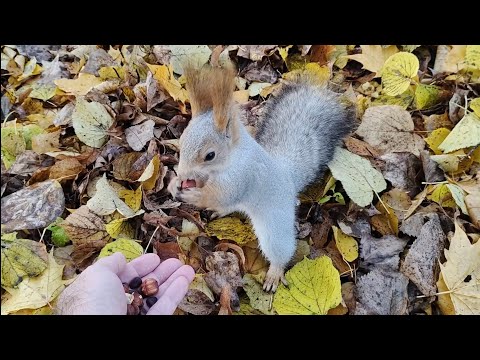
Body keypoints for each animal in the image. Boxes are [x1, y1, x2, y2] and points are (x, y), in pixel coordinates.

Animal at [167, 63, 354, 292]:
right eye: (181, 141)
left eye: (210, 155)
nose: (184, 174)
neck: (230, 161)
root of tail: (288, 179)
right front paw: (174, 183)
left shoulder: (245, 176)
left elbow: (223, 194)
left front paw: (195, 195)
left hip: (275, 225)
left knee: (279, 249)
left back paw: (274, 273)